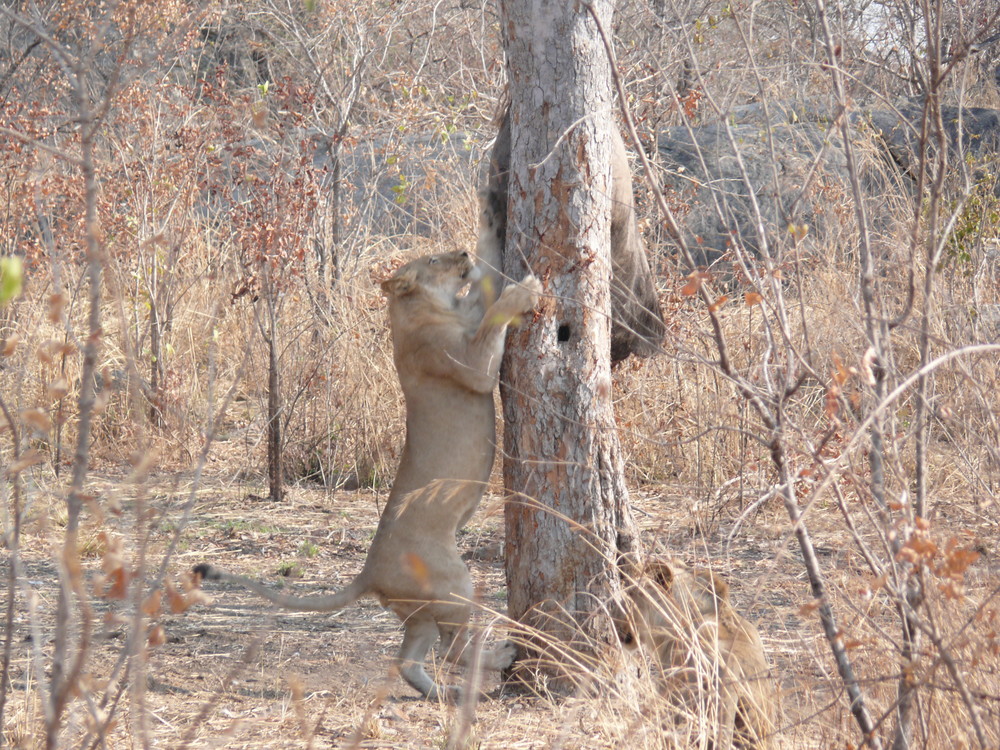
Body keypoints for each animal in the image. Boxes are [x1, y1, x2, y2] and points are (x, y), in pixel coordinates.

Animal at [194, 253, 540, 704]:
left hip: (419, 611)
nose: (462, 253)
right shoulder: (469, 363)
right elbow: (495, 319)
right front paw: (524, 289)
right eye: (435, 259)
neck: (422, 310)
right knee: (453, 650)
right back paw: (500, 657)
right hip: (455, 584)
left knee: (408, 661)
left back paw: (441, 693)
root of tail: (368, 573)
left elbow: (485, 291)